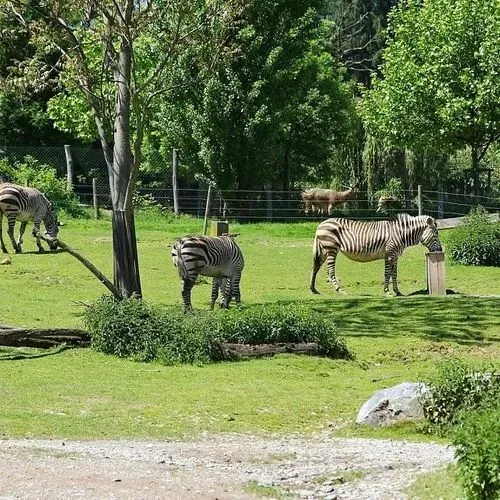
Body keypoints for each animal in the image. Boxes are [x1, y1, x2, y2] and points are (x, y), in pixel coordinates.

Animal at [308, 212, 442, 296]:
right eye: (436, 234)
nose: (440, 249)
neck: (400, 234)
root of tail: (321, 224)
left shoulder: (395, 256)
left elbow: (394, 273)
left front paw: (397, 292)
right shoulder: (389, 254)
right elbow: (387, 273)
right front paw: (387, 291)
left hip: (324, 250)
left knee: (315, 267)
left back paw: (313, 289)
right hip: (331, 249)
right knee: (330, 270)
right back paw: (340, 290)